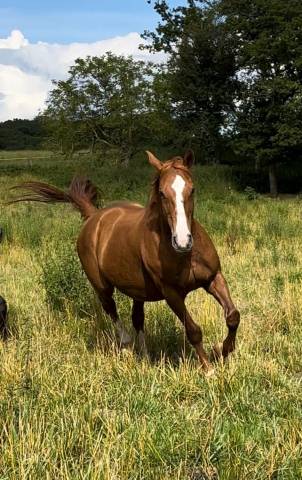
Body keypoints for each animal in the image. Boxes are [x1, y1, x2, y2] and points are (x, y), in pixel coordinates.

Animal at [11, 150, 239, 376]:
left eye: (192, 190)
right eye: (162, 193)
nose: (182, 241)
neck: (186, 256)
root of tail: (94, 217)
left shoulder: (213, 278)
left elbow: (233, 316)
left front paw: (223, 350)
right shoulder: (171, 293)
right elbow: (193, 330)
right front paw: (209, 370)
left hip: (138, 291)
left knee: (137, 319)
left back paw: (145, 355)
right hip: (102, 287)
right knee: (112, 310)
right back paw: (127, 347)